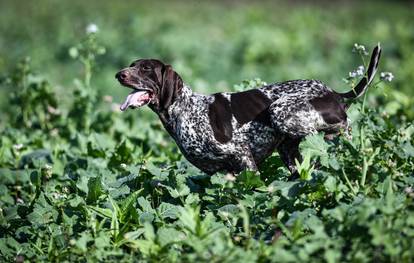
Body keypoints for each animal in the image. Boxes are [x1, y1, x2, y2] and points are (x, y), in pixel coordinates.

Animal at [114, 44, 382, 178]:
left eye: (146, 69)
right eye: (131, 65)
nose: (119, 74)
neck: (185, 110)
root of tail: (334, 93)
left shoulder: (242, 155)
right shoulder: (220, 173)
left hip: (280, 111)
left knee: (342, 125)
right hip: (289, 151)